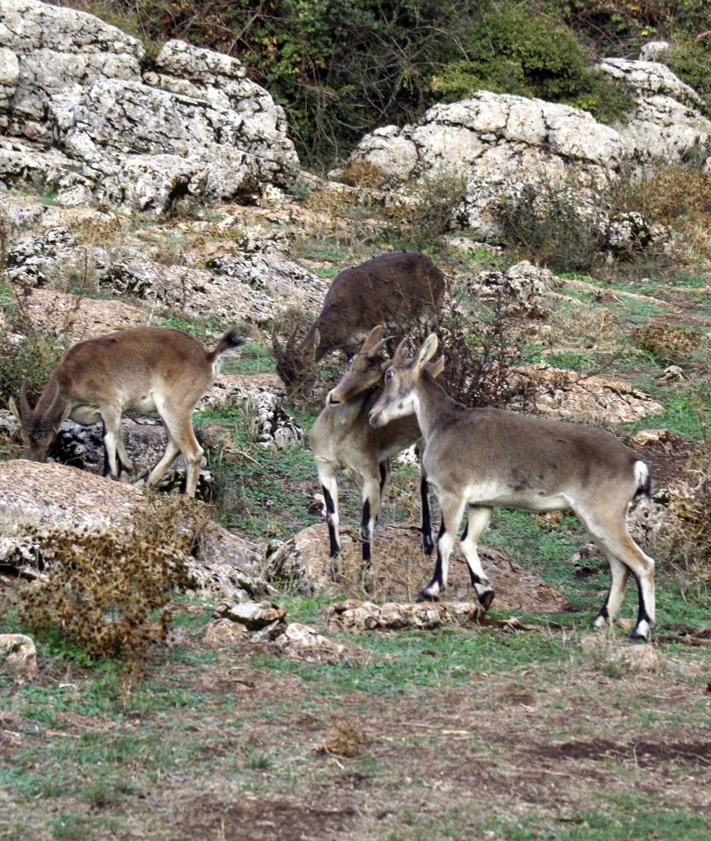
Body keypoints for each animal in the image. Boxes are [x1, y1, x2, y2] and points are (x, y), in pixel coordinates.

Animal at [272, 249, 444, 398]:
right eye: (282, 376)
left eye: (301, 374)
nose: (293, 401)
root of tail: (436, 270)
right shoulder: (351, 347)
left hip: (431, 313)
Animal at [310, 326, 442, 576]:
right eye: (352, 361)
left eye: (374, 383)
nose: (334, 398)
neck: (338, 437)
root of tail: (432, 369)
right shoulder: (325, 466)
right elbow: (332, 516)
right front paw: (335, 564)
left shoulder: (368, 473)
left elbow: (365, 526)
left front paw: (367, 571)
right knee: (388, 476)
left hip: (423, 443)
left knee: (423, 485)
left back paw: (428, 541)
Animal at [370, 332, 660, 640]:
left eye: (389, 374)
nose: (373, 415)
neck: (443, 424)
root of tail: (634, 463)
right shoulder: (481, 504)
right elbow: (468, 542)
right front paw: (485, 592)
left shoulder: (452, 494)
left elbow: (445, 540)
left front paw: (430, 591)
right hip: (595, 522)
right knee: (619, 568)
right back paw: (600, 620)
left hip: (605, 517)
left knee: (643, 564)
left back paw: (641, 628)